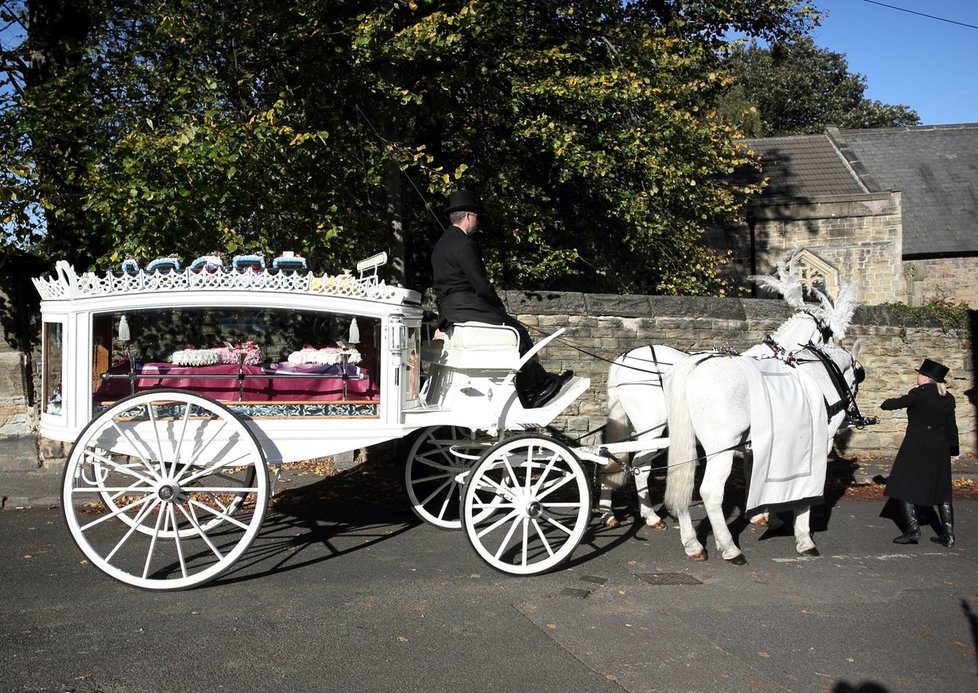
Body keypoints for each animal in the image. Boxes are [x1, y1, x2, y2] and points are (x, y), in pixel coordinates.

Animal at [664, 340, 860, 564]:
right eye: (859, 374)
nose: (855, 417)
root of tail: (692, 364)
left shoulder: (760, 448)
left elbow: (756, 480)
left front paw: (767, 517)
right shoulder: (817, 445)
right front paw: (804, 538)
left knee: (683, 486)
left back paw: (693, 544)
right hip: (720, 449)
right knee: (710, 492)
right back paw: (730, 548)